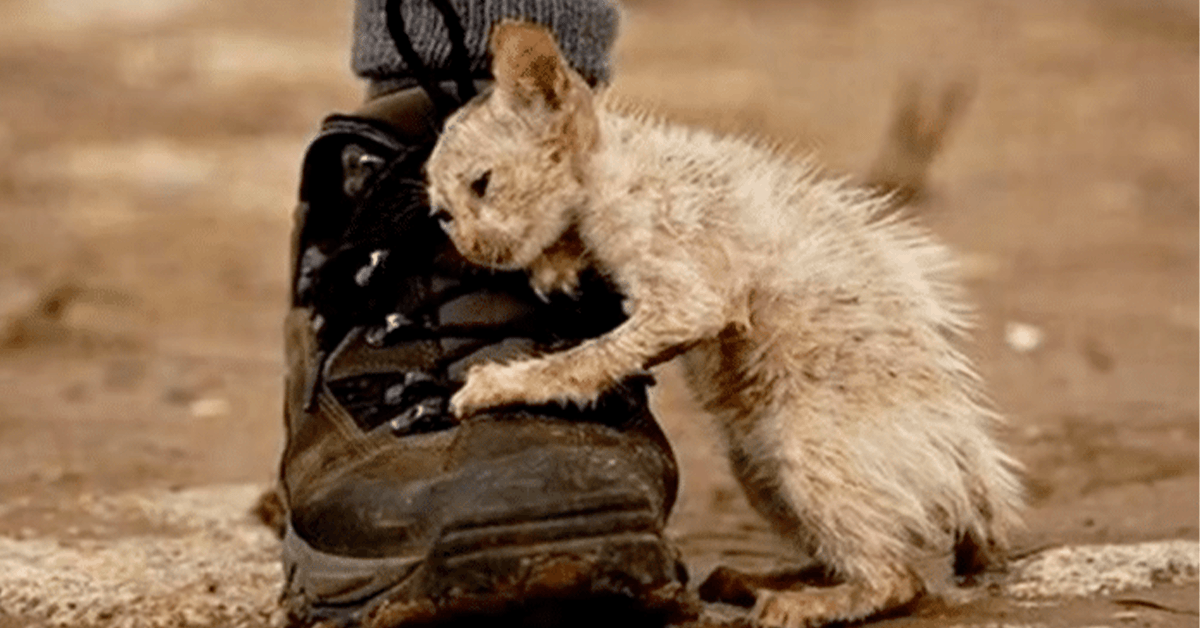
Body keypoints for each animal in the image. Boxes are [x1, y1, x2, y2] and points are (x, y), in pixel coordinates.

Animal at [422, 19, 1022, 628]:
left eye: (482, 183)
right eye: (441, 215)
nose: (471, 249)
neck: (613, 166)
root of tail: (973, 472)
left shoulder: (689, 295)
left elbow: (587, 358)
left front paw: (498, 383)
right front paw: (557, 266)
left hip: (806, 449)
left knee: (898, 579)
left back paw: (799, 603)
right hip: (757, 468)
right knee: (856, 555)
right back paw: (754, 580)